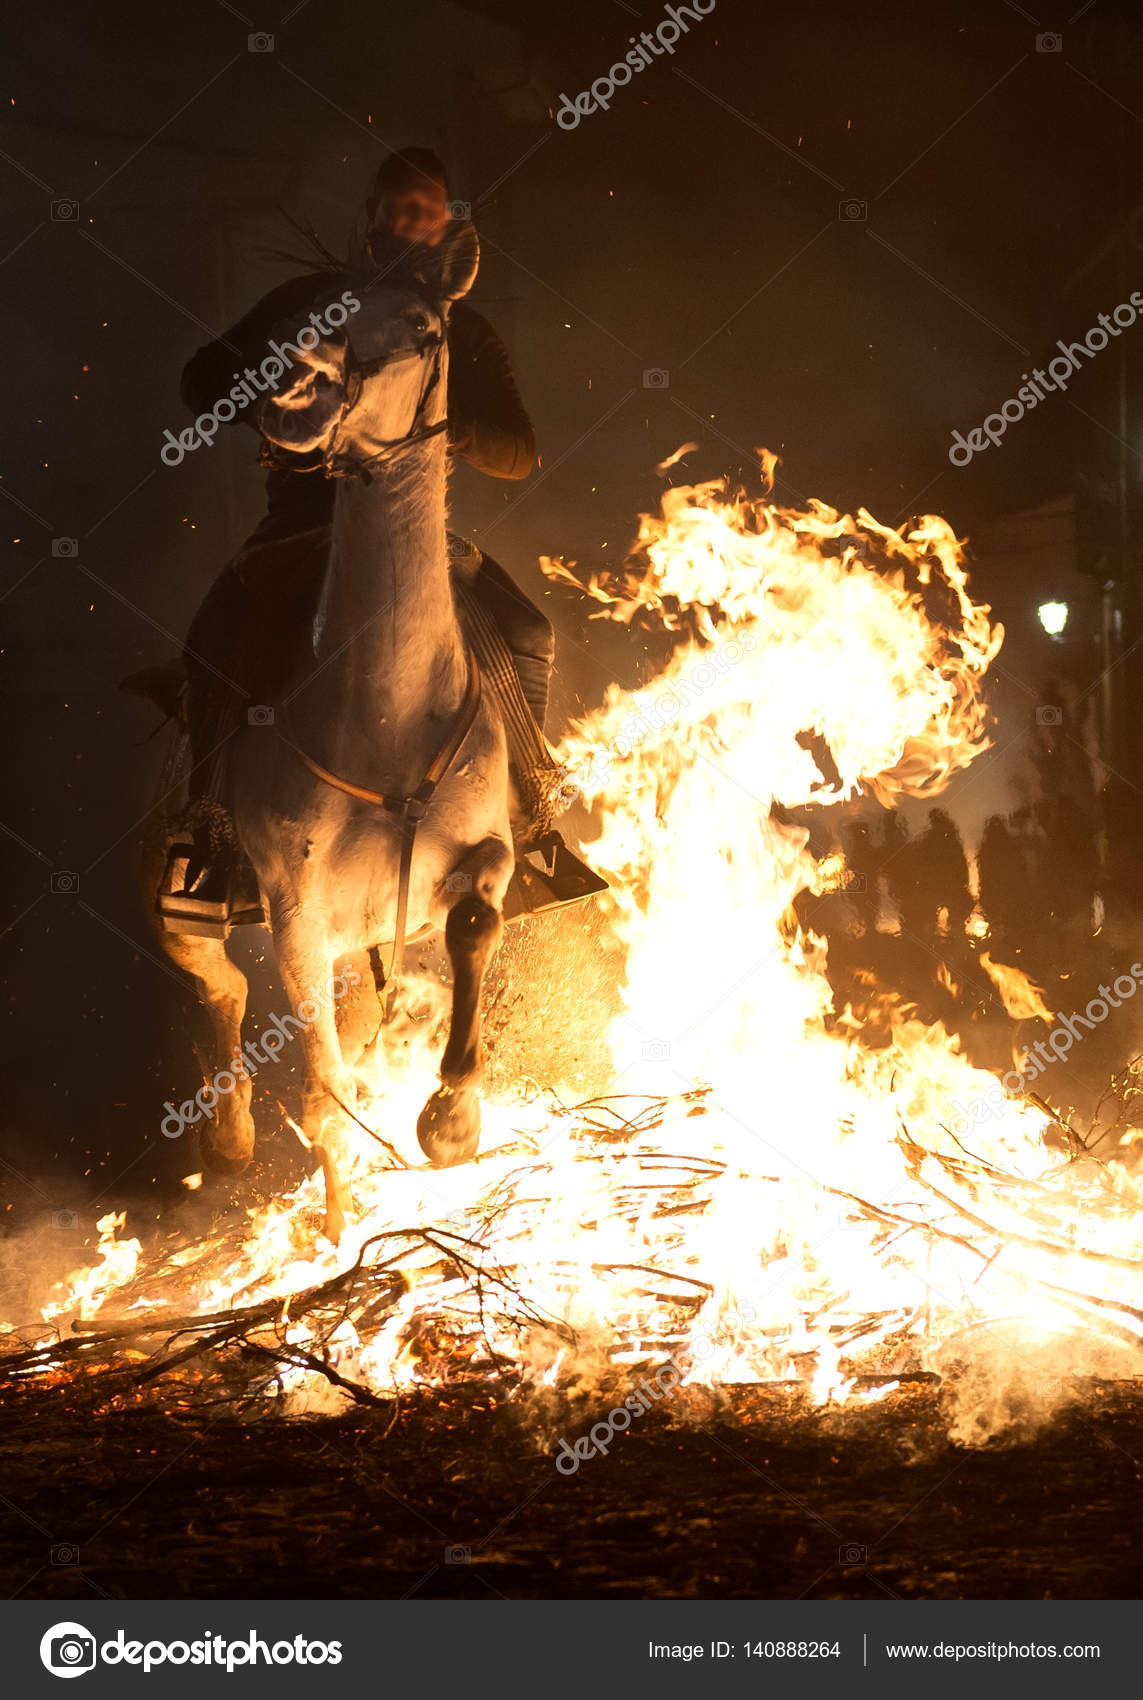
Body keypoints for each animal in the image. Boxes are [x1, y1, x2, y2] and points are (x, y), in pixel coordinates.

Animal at [156, 222, 513, 1237]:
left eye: (427, 328)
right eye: (317, 309)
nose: (297, 391)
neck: (382, 716)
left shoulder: (487, 850)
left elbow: (476, 917)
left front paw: (451, 1116)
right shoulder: (296, 913)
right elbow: (321, 1096)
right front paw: (339, 1231)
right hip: (199, 896)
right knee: (215, 978)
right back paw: (229, 1132)